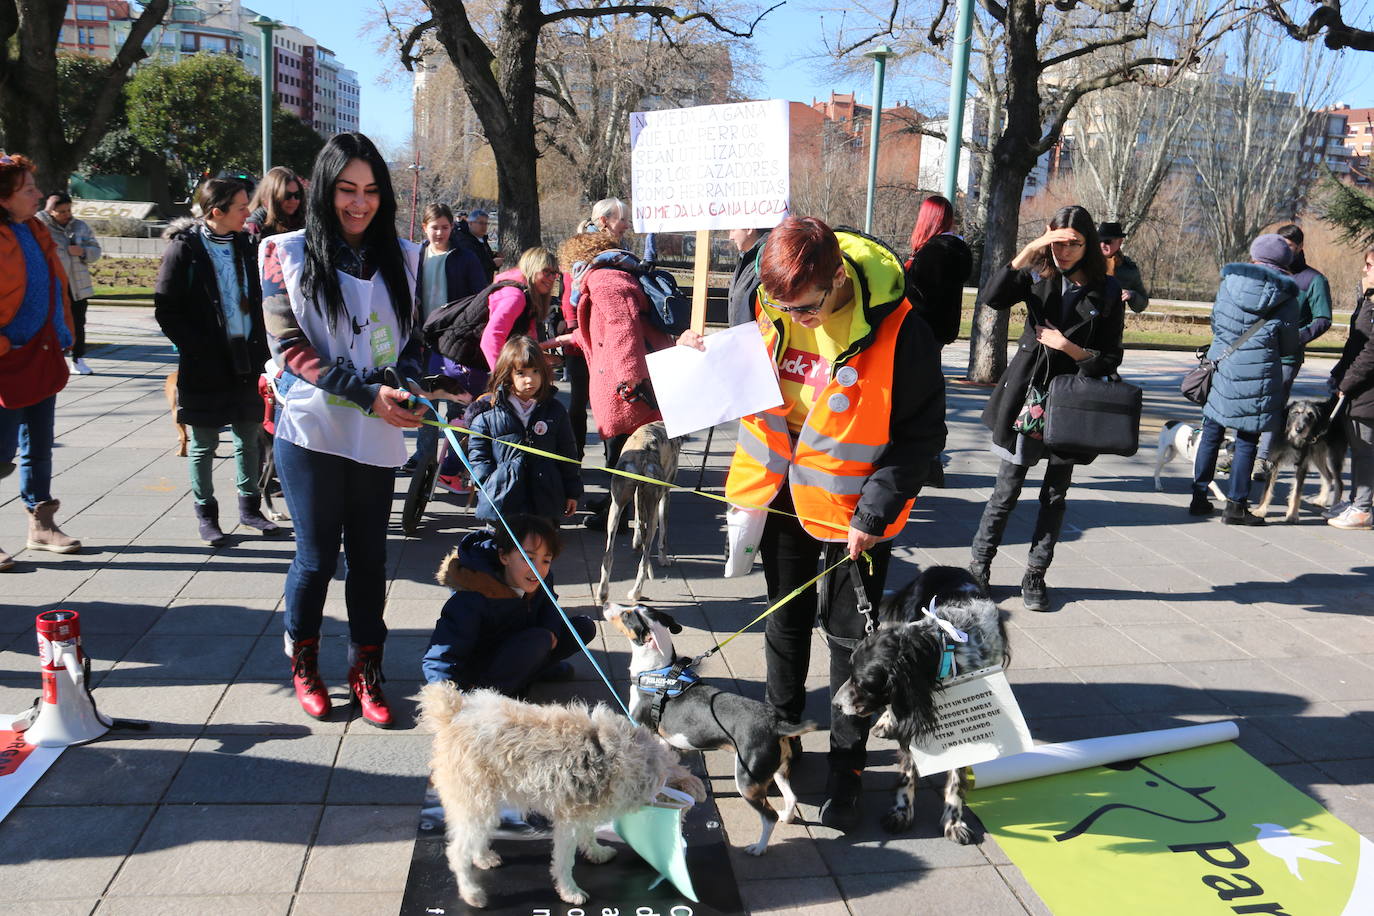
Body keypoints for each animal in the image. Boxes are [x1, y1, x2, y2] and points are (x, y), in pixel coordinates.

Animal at [420, 681, 703, 911]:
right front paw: (570, 892)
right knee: (457, 852)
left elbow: (589, 835)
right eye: (683, 811)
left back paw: (483, 858)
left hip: (485, 804)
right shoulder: (569, 820)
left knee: (475, 840)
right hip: (475, 802)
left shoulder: (587, 808)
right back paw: (472, 894)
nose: (681, 835)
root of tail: (453, 714)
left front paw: (597, 853)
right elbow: (565, 862)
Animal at [604, 604, 813, 856]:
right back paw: (787, 817)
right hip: (778, 770)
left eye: (626, 614)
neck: (656, 672)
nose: (606, 605)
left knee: (768, 816)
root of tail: (776, 725)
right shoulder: (666, 744)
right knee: (791, 797)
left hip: (747, 781)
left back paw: (759, 848)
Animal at [824, 565, 1011, 845]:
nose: (835, 703)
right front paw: (901, 812)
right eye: (850, 673)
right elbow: (907, 770)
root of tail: (942, 568)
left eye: (864, 682)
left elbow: (956, 777)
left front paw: (954, 822)